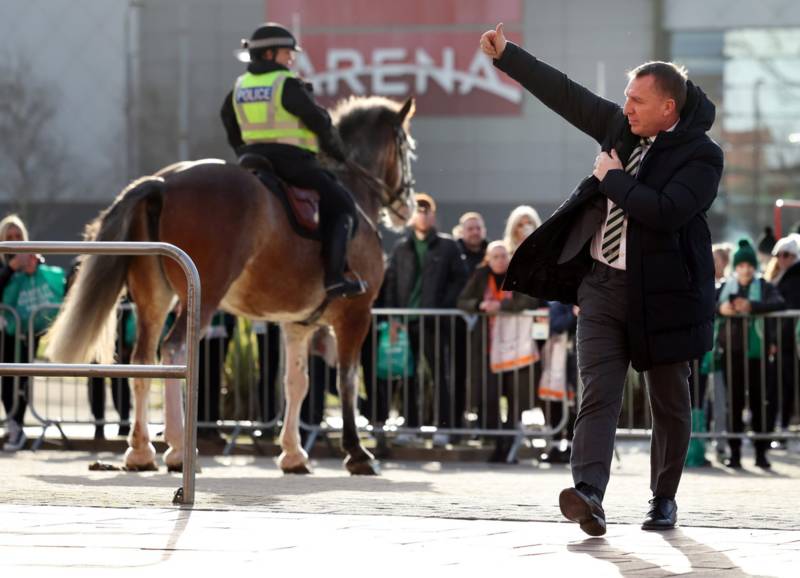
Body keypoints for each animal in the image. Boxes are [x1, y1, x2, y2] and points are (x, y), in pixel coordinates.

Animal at [46, 95, 416, 472]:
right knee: (174, 350)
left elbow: (296, 383)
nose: (408, 206)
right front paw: (356, 452)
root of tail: (163, 183)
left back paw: (141, 451)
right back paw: (179, 448)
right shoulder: (357, 315)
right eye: (407, 147)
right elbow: (347, 380)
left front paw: (293, 454)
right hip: (206, 294)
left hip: (153, 299)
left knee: (143, 359)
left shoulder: (296, 324)